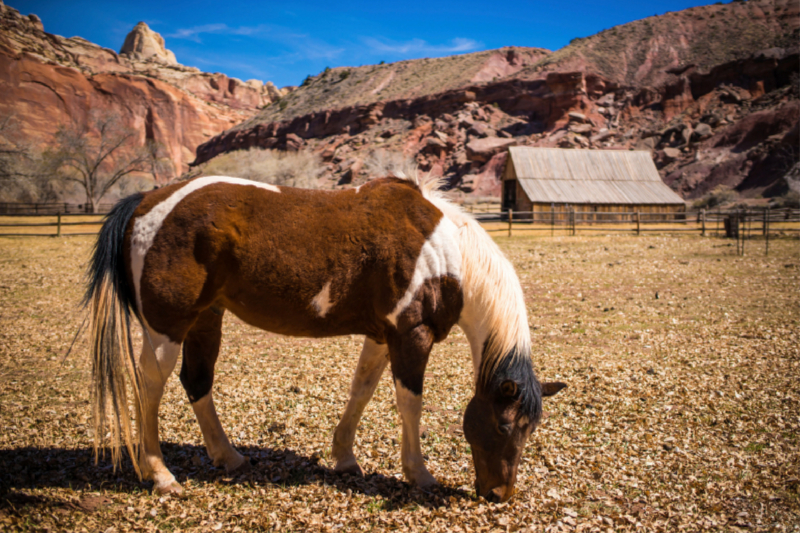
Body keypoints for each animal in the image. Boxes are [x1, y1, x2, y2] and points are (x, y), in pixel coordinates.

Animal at [84, 172, 564, 500]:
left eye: (529, 429)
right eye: (504, 426)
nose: (499, 494)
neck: (448, 254)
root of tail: (147, 199)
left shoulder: (383, 335)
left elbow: (361, 390)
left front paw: (345, 458)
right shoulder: (412, 336)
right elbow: (409, 404)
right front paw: (419, 473)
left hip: (206, 318)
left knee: (197, 381)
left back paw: (228, 457)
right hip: (167, 328)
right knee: (150, 385)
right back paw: (160, 474)